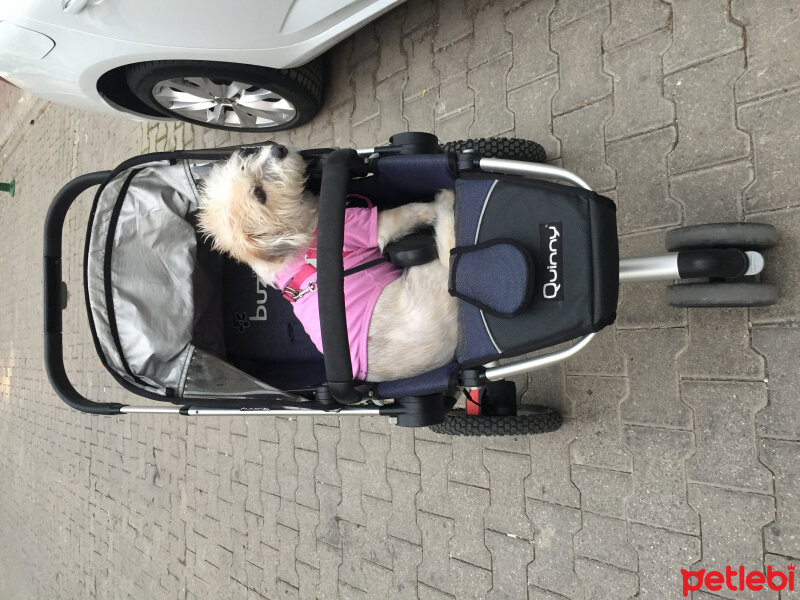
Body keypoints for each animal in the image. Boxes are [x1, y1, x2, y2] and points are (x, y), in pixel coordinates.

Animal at [197, 143, 456, 382]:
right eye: (259, 194)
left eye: (244, 164)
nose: (278, 148)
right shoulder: (369, 226)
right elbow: (412, 211)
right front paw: (435, 201)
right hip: (426, 272)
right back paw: (447, 199)